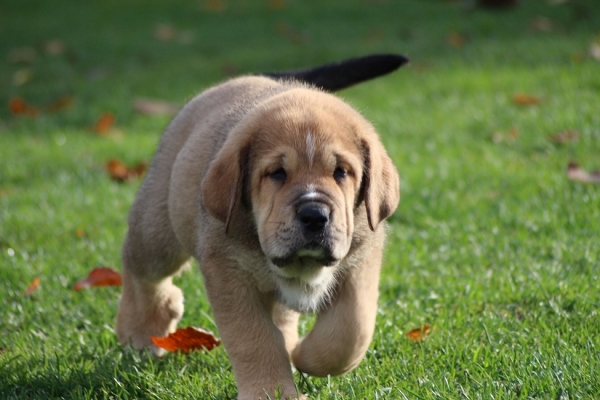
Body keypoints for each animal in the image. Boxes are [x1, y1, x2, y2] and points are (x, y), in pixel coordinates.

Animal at [116, 54, 408, 400]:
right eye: (277, 173)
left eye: (341, 172)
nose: (314, 215)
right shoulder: (229, 273)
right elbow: (255, 340)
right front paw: (272, 391)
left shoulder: (361, 258)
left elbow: (350, 330)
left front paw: (303, 356)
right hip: (157, 232)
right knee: (142, 272)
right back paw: (140, 333)